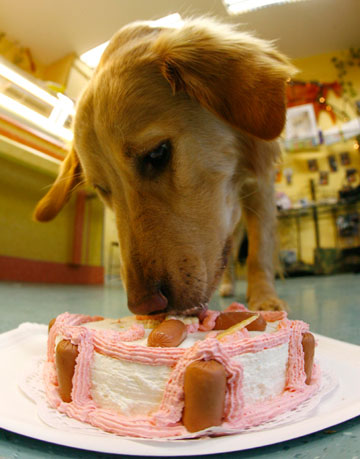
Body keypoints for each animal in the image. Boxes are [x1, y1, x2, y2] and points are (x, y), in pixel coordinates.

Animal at [33, 17, 294, 316]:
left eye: (157, 154)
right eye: (101, 189)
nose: (145, 306)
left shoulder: (262, 185)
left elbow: (259, 250)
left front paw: (265, 298)